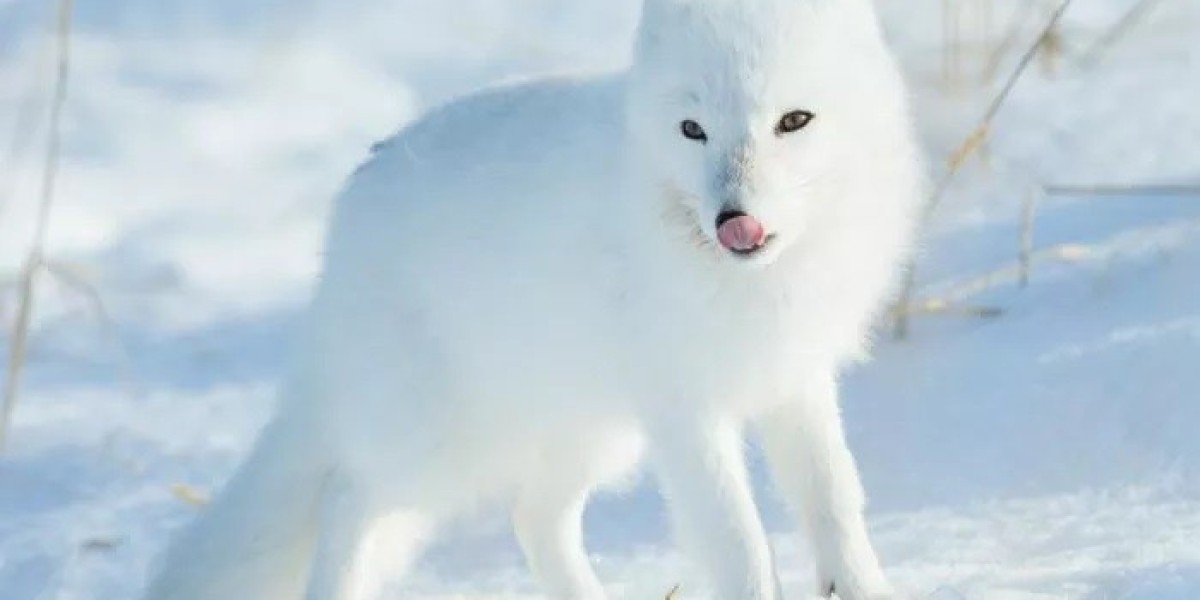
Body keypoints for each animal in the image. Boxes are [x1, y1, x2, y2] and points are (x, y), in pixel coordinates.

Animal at [143, 0, 923, 598]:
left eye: (794, 121)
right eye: (692, 129)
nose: (734, 219)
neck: (755, 284)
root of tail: (350, 203)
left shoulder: (794, 379)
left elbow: (835, 504)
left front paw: (871, 589)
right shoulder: (686, 411)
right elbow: (738, 542)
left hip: (591, 431)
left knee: (532, 517)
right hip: (438, 444)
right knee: (347, 500)